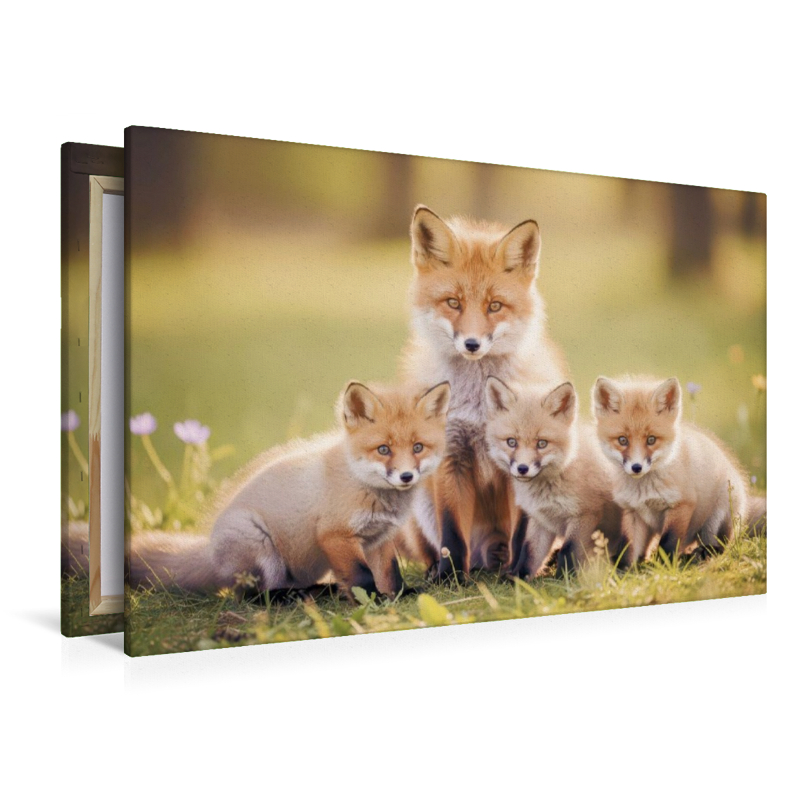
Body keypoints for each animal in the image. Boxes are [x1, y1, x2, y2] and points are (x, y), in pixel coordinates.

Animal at [130, 380, 451, 600]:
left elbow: (390, 573)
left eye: (418, 447)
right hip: (261, 547)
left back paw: (321, 591)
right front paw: (372, 600)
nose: (406, 476)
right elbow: (362, 576)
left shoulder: (378, 539)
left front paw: (399, 594)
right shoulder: (335, 535)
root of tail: (210, 551)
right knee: (252, 596)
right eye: (383, 449)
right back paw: (293, 598)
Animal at [402, 205, 568, 579]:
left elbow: (523, 531)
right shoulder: (451, 456)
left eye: (495, 306)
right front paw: (449, 577)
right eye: (453, 303)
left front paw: (519, 572)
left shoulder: (520, 463)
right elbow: (451, 533)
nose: (472, 344)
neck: (478, 402)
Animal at [485, 377, 622, 579]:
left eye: (542, 444)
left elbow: (568, 550)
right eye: (511, 442)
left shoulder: (585, 515)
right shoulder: (541, 520)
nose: (522, 468)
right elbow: (530, 552)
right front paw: (518, 577)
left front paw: (565, 578)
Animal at [592, 375, 765, 564]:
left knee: (720, 544)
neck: (644, 491)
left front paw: (665, 565)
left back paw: (703, 552)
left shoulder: (681, 505)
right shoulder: (633, 511)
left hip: (719, 513)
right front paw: (623, 568)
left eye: (651, 440)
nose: (636, 467)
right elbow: (628, 547)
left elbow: (668, 542)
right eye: (622, 440)